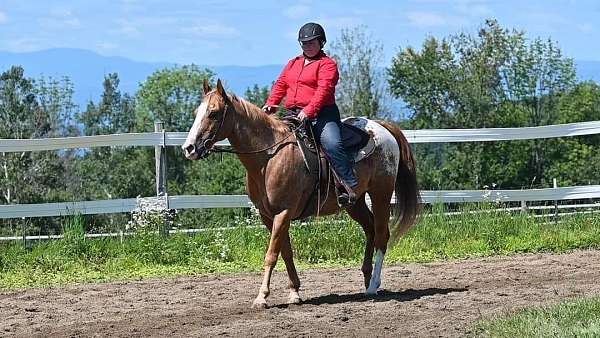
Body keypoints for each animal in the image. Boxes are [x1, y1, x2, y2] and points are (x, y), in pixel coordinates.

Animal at [180, 79, 420, 308]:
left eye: (213, 113)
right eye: (196, 112)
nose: (189, 148)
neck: (270, 156)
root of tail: (382, 127)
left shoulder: (284, 212)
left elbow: (271, 254)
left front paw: (262, 297)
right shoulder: (268, 216)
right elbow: (285, 251)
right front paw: (294, 292)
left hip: (381, 194)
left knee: (381, 235)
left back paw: (373, 286)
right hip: (356, 202)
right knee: (370, 230)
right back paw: (368, 281)